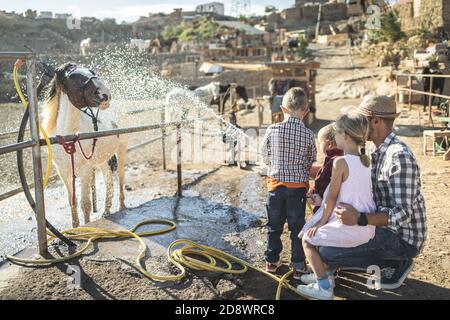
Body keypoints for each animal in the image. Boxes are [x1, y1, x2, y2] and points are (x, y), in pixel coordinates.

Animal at [42, 63, 128, 228]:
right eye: (72, 77)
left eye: (91, 72)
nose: (105, 94)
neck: (70, 138)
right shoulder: (64, 173)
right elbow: (73, 203)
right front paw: (75, 227)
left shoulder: (86, 171)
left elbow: (85, 204)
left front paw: (86, 226)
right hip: (102, 160)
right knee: (108, 180)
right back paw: (106, 211)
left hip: (121, 151)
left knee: (120, 178)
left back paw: (122, 207)